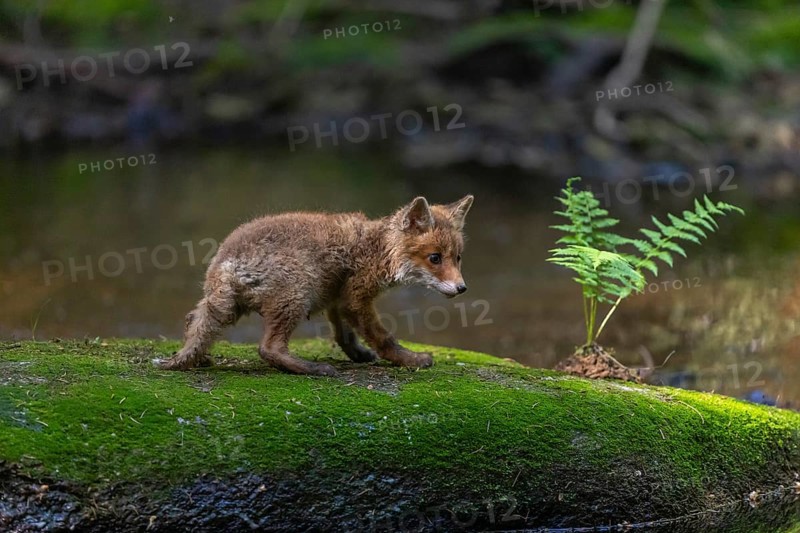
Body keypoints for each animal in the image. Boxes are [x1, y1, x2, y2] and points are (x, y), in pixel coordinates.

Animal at [160, 195, 474, 376]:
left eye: (458, 258)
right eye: (435, 258)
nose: (462, 288)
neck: (378, 249)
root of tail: (225, 261)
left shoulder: (338, 300)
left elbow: (345, 337)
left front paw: (360, 356)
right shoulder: (355, 298)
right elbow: (384, 338)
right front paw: (410, 360)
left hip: (229, 306)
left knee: (192, 320)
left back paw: (198, 358)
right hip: (298, 294)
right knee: (268, 349)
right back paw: (315, 368)